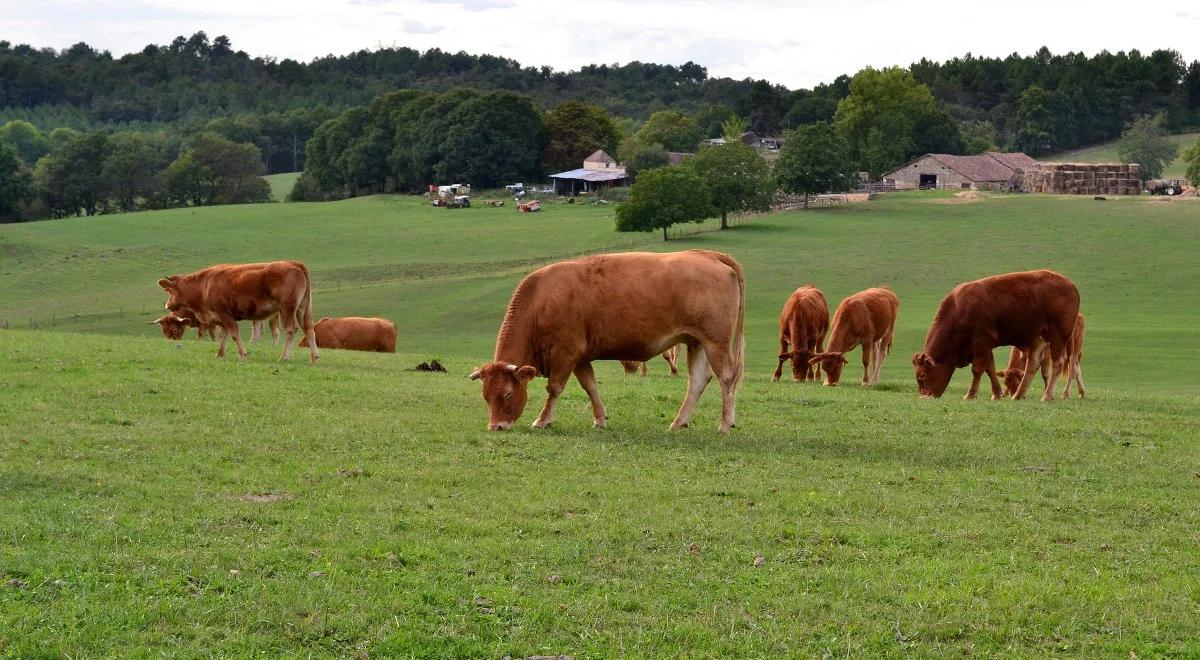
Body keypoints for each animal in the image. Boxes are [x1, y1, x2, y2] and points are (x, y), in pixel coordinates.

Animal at [157, 260, 316, 362]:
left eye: (169, 291)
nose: (167, 305)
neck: (204, 285)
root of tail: (293, 263)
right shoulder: (222, 317)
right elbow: (224, 334)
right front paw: (220, 353)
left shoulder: (224, 314)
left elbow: (234, 333)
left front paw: (243, 354)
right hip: (302, 308)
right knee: (309, 329)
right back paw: (314, 357)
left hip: (286, 309)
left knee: (291, 330)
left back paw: (284, 357)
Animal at [468, 252, 739, 434]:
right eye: (485, 396)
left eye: (507, 393)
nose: (496, 426)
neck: (541, 302)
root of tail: (708, 254)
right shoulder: (581, 357)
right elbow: (590, 386)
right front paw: (600, 418)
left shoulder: (566, 352)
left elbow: (554, 388)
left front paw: (542, 420)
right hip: (696, 342)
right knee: (698, 381)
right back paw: (679, 422)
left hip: (715, 342)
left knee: (726, 378)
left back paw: (725, 424)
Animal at [907, 270, 1080, 403]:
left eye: (922, 377)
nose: (924, 397)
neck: (959, 309)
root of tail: (1071, 285)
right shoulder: (984, 346)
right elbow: (990, 369)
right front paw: (997, 394)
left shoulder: (981, 342)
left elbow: (977, 369)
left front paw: (970, 394)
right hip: (1038, 338)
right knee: (1032, 364)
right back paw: (1018, 395)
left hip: (1057, 335)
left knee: (1058, 363)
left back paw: (1047, 395)